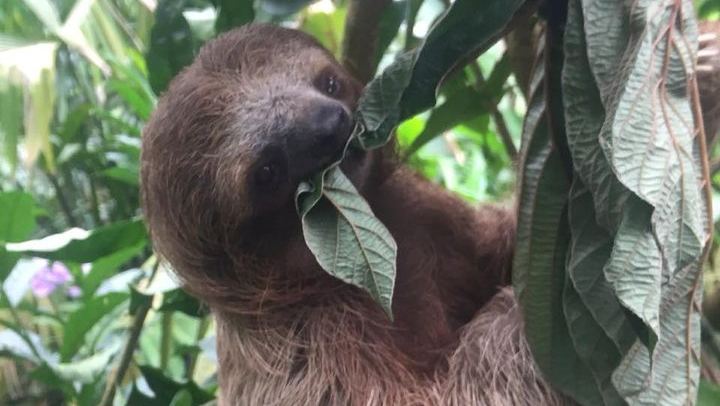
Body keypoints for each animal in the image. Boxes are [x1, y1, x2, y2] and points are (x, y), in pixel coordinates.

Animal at [140, 23, 566, 405]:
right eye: (267, 172)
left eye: (328, 84)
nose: (328, 125)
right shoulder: (304, 344)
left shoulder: (428, 213)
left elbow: (494, 245)